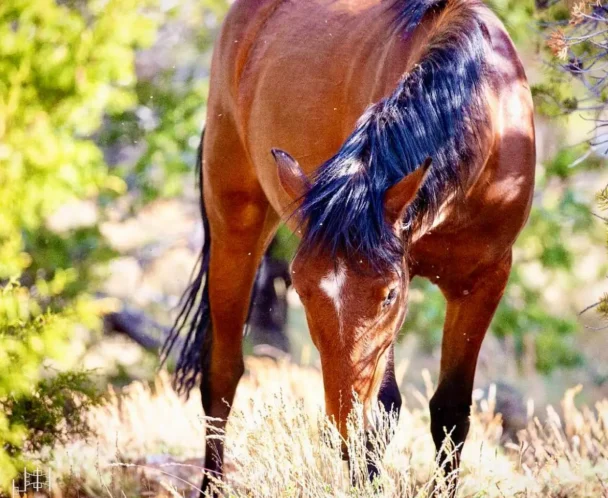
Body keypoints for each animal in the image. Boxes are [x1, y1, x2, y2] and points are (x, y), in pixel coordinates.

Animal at [160, 0, 532, 494]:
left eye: (389, 295)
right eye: (302, 290)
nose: (343, 422)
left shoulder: (483, 281)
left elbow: (450, 413)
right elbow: (383, 415)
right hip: (235, 224)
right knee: (221, 373)